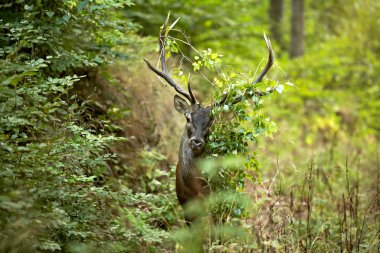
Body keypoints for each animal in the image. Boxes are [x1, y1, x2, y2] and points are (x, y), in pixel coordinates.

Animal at [144, 14, 274, 224]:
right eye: (188, 118)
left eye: (211, 122)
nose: (196, 142)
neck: (197, 188)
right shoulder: (185, 204)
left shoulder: (216, 202)